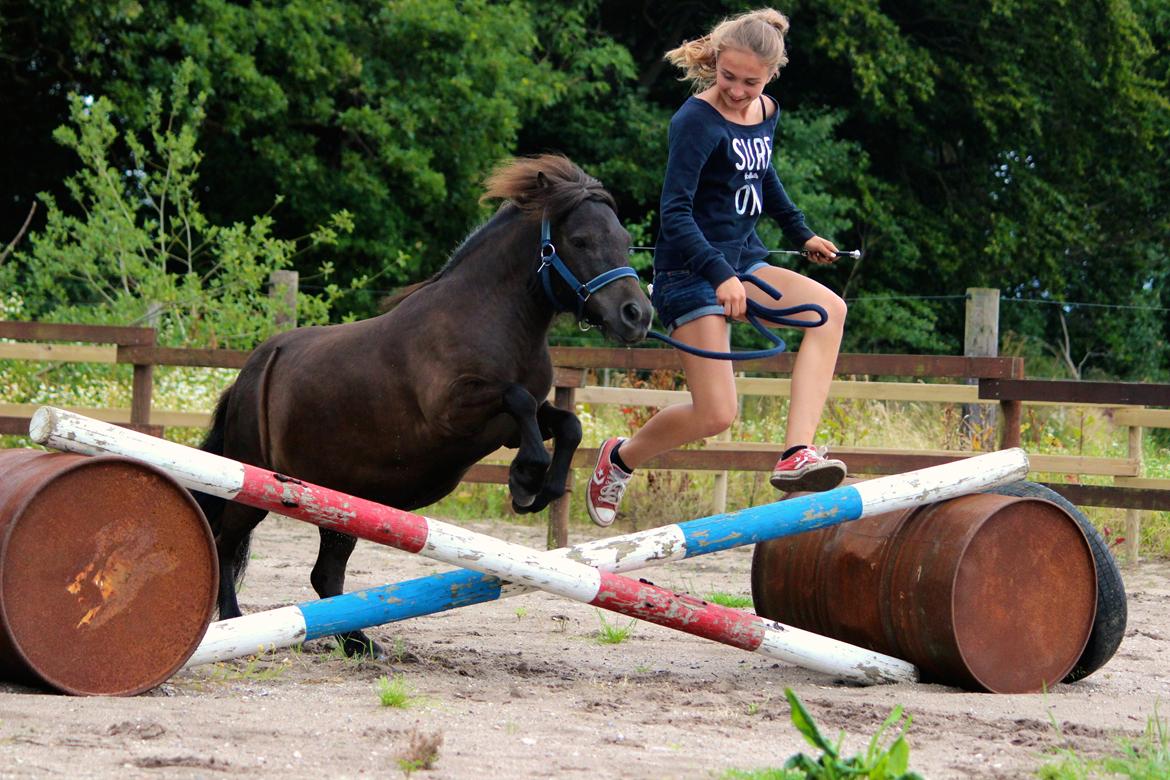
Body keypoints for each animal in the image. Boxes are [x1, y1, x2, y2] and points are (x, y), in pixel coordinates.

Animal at [196, 155, 655, 654]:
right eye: (581, 240)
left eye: (625, 240)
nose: (637, 315)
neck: (494, 317)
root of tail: (253, 371)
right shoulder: (454, 413)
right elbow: (518, 402)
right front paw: (524, 479)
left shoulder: (513, 422)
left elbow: (567, 424)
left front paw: (540, 488)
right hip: (253, 485)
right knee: (225, 544)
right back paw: (234, 625)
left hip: (341, 504)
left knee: (325, 574)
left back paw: (359, 643)